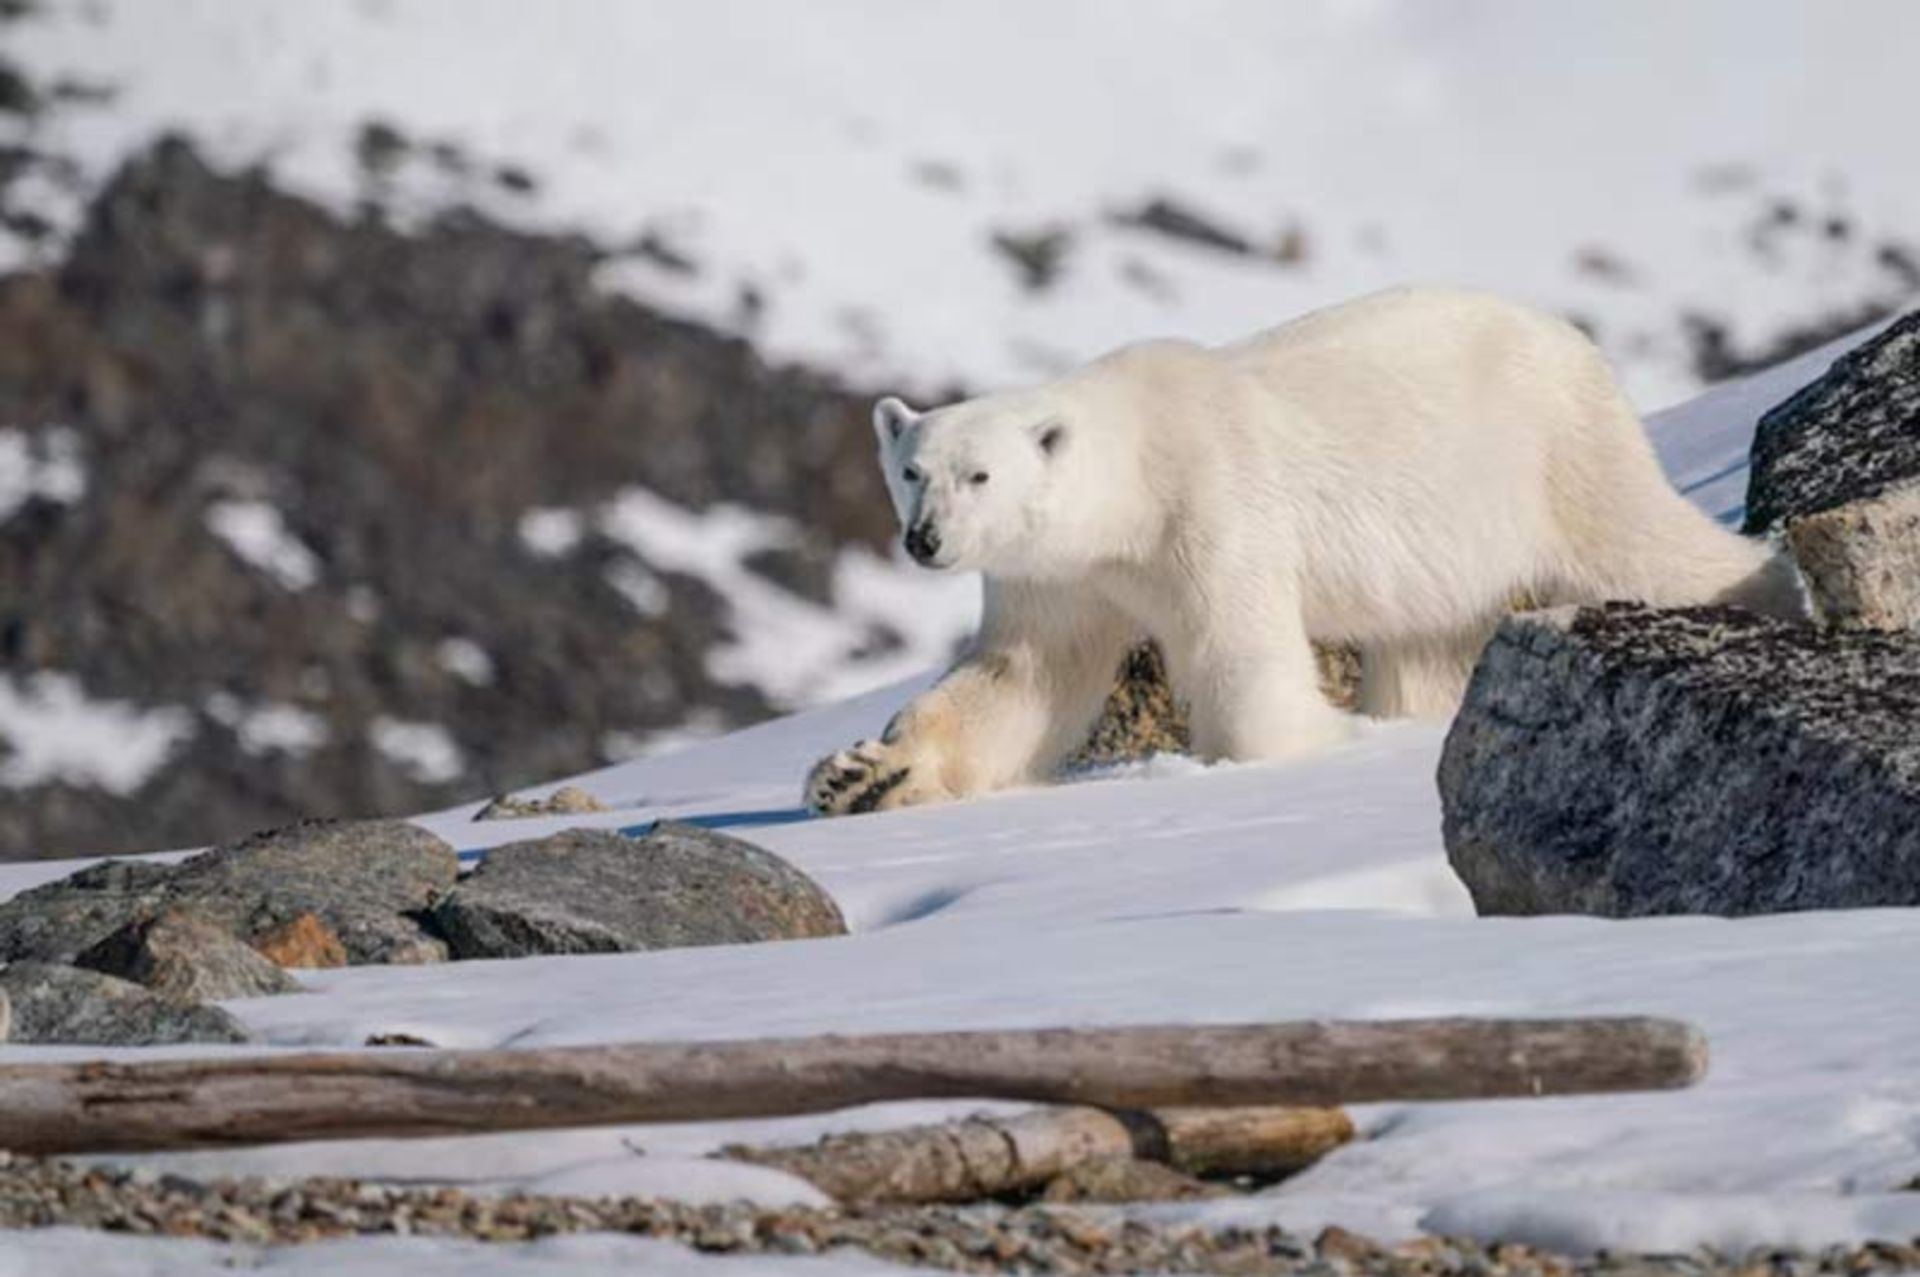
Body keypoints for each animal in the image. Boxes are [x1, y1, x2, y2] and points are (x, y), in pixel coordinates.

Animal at [805, 286, 1805, 816]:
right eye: (911, 469)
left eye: (979, 475)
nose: (926, 539)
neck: (1134, 474)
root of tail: (1570, 337)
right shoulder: (1061, 575)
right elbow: (1021, 674)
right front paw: (860, 773)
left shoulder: (1210, 503)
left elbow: (1239, 648)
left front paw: (1287, 750)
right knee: (1425, 644)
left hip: (1553, 451)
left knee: (1641, 543)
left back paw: (1782, 587)